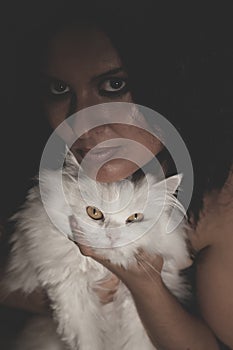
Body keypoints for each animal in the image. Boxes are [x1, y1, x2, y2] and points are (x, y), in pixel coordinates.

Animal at [4, 154, 191, 348]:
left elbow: (136, 339)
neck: (103, 270)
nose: (112, 235)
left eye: (134, 218)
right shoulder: (71, 289)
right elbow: (85, 338)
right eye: (94, 212)